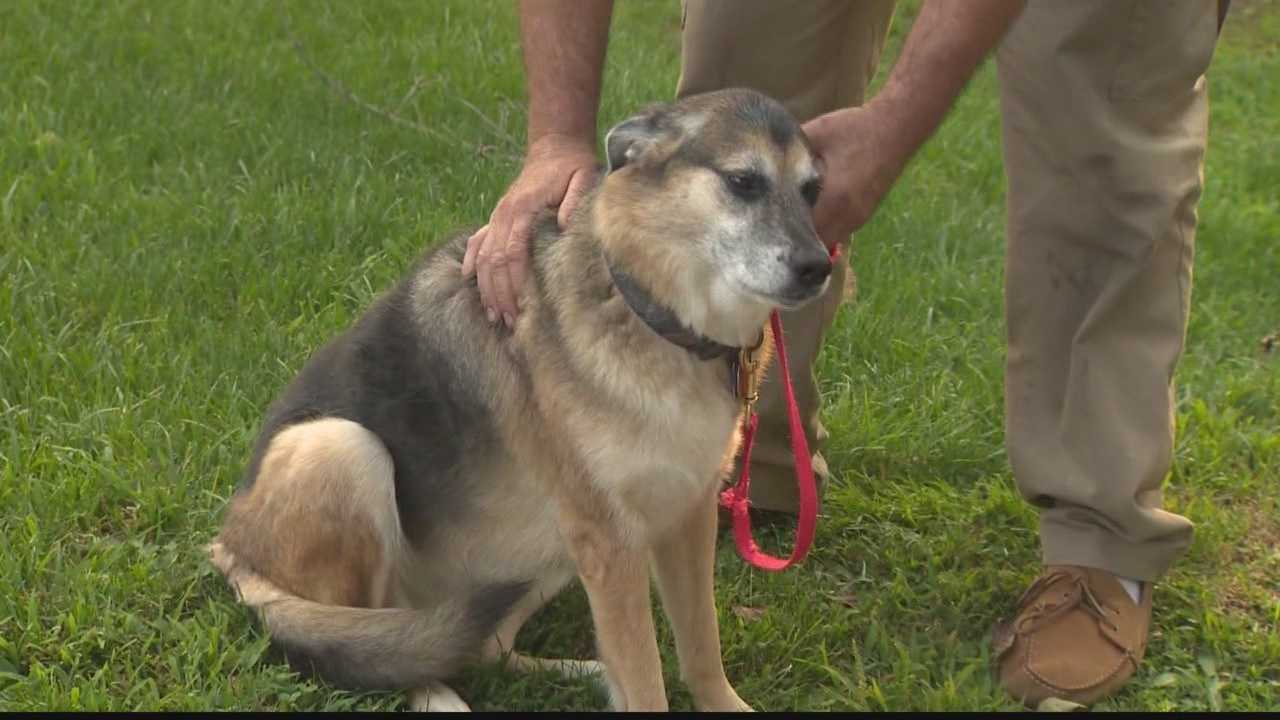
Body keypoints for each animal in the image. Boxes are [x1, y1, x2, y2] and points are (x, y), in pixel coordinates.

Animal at [208, 87, 829, 707]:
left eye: (812, 191)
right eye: (743, 182)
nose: (819, 268)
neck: (650, 313)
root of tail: (231, 548)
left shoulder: (685, 516)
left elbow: (700, 646)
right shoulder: (610, 539)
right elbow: (646, 678)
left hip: (538, 547)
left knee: (482, 645)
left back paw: (582, 670)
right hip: (341, 449)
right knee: (378, 643)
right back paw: (438, 694)